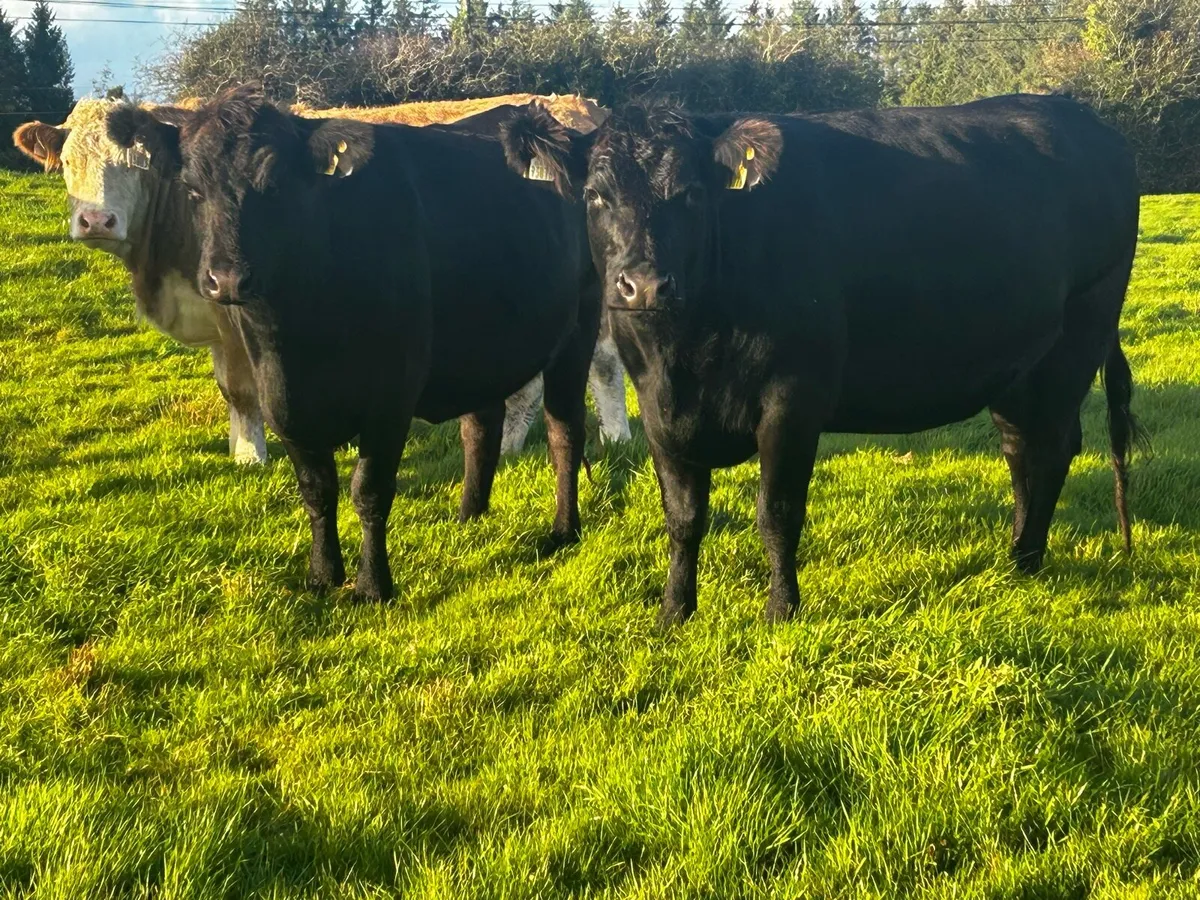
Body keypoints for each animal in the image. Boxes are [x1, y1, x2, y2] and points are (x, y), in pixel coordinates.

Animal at [11, 95, 629, 464]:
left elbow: (246, 391)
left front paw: (253, 457)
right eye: (67, 163)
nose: (95, 221)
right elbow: (231, 390)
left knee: (598, 360)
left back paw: (600, 437)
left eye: (134, 162)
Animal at [107, 85, 600, 601]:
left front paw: (372, 585)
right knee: (481, 425)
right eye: (192, 190)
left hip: (577, 332)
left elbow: (369, 490)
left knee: (565, 431)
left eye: (276, 185)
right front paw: (323, 575)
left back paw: (564, 529)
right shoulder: (282, 402)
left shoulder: (391, 397)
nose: (226, 279)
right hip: (480, 346)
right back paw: (469, 516)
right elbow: (316, 489)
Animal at [499, 95, 1144, 625]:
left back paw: (1027, 560)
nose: (645, 285)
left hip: (1077, 338)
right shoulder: (659, 409)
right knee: (1019, 450)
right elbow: (682, 516)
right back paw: (1013, 554)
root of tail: (1082, 116)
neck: (687, 353)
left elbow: (777, 511)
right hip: (1017, 362)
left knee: (1054, 447)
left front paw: (781, 611)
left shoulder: (793, 397)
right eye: (595, 196)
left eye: (693, 194)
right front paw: (674, 611)